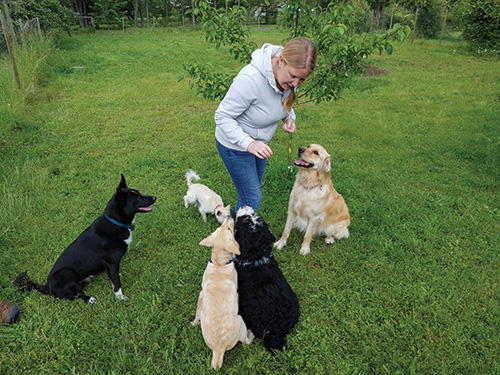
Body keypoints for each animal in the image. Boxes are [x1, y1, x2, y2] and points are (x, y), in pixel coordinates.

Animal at [15, 175, 156, 304]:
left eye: (139, 192)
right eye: (137, 198)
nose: (155, 197)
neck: (115, 222)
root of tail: (46, 286)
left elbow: (113, 277)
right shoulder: (112, 262)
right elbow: (116, 284)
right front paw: (120, 298)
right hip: (66, 273)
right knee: (75, 295)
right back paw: (90, 299)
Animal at [191, 216, 254, 372]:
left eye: (222, 227)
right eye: (230, 230)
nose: (229, 216)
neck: (219, 263)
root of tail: (219, 349)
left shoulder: (201, 295)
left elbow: (197, 311)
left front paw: (194, 323)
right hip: (241, 321)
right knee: (246, 342)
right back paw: (251, 334)